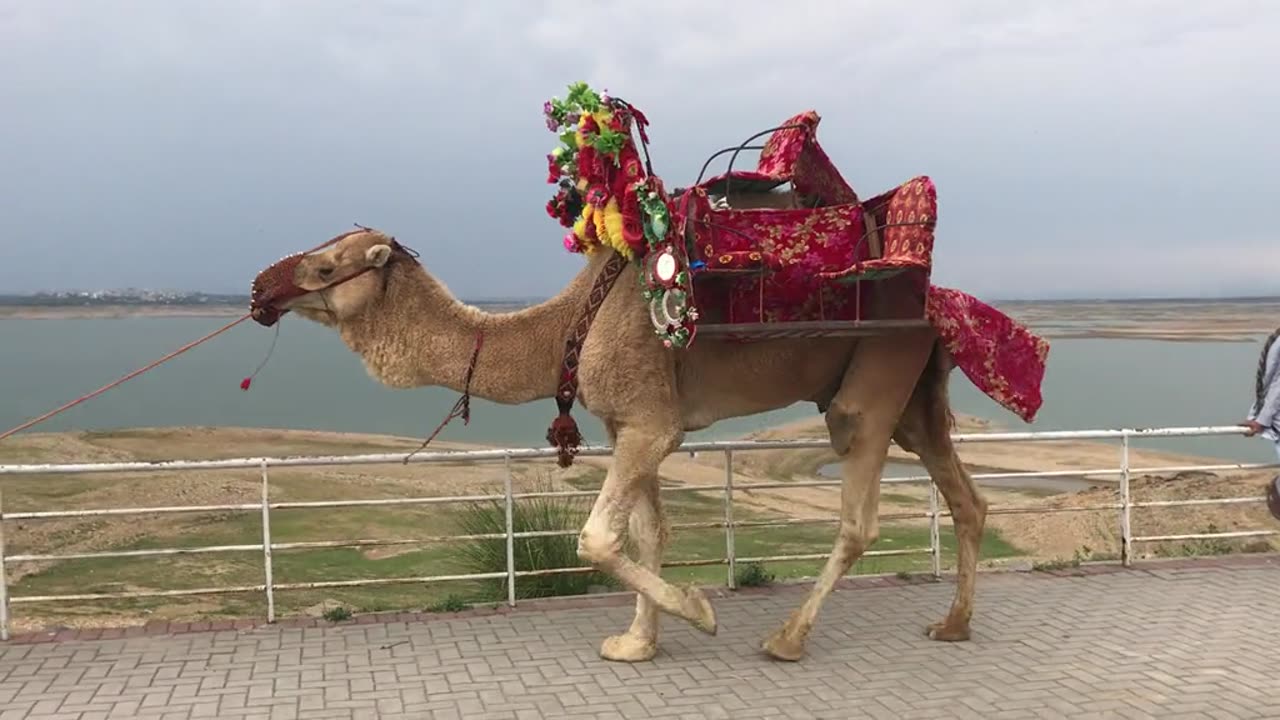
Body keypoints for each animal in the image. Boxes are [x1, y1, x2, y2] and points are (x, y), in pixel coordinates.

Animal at [249, 226, 988, 661]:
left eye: (324, 267)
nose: (257, 286)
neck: (567, 328)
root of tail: (940, 303)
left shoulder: (652, 423)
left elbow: (597, 538)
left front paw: (697, 611)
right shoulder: (628, 423)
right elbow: (646, 531)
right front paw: (637, 642)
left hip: (879, 370)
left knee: (859, 507)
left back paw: (786, 639)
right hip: (915, 388)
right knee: (966, 498)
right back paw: (952, 625)